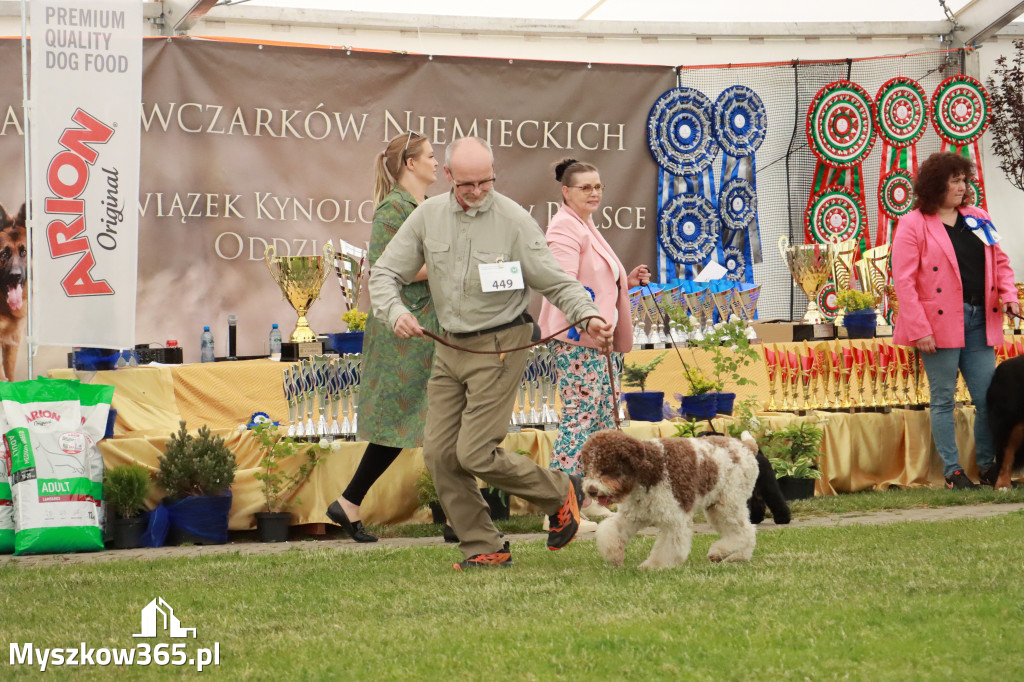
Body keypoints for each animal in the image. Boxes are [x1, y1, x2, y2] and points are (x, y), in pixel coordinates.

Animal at [585, 430, 761, 569]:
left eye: (605, 469)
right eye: (588, 468)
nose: (591, 490)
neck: (650, 470)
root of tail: (745, 446)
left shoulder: (674, 519)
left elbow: (667, 547)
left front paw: (654, 566)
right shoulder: (631, 516)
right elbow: (611, 531)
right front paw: (614, 555)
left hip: (726, 504)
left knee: (743, 532)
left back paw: (719, 552)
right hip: (718, 507)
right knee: (748, 531)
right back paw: (737, 557)